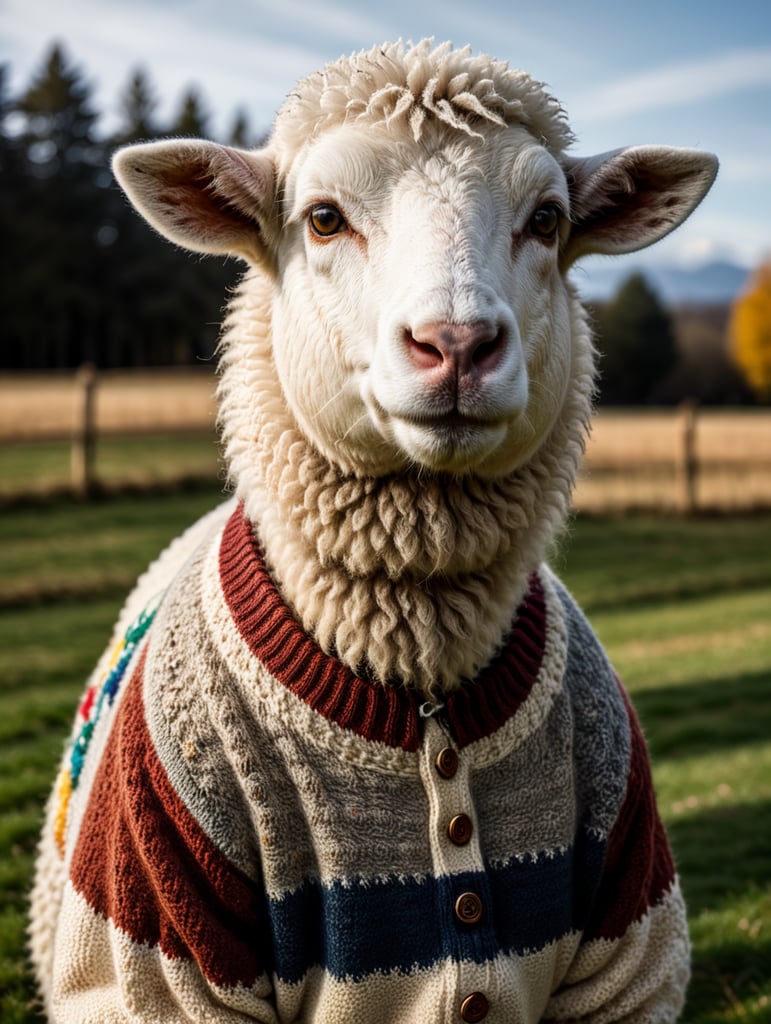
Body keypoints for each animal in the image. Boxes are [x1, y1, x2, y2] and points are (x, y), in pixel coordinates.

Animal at [30, 39, 716, 1024]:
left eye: (547, 220)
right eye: (323, 219)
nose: (457, 344)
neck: (416, 672)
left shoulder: (626, 957)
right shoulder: (158, 954)